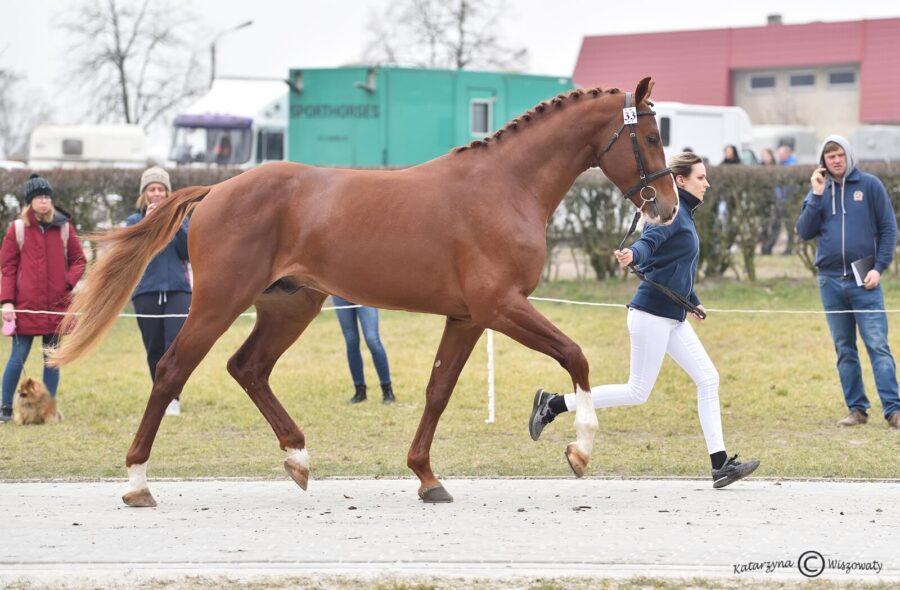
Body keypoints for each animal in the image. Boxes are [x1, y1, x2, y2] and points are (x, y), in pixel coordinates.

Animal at [45, 76, 672, 506]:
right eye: (649, 135)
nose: (666, 207)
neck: (504, 187)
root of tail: (217, 191)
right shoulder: (501, 307)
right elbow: (574, 355)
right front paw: (580, 449)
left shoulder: (468, 318)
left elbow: (438, 390)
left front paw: (426, 476)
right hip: (220, 302)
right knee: (173, 369)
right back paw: (137, 482)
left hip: (292, 304)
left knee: (248, 367)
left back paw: (298, 458)